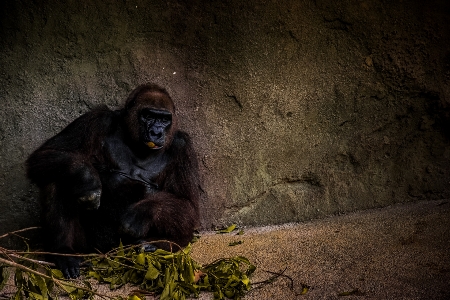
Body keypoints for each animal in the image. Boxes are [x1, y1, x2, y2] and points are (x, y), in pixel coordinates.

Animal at [25, 82, 199, 278]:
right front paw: (87, 179)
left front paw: (142, 213)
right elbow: (46, 153)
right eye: (148, 116)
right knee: (57, 177)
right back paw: (64, 253)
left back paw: (152, 245)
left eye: (164, 119)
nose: (156, 132)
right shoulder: (98, 118)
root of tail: (108, 257)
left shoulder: (183, 147)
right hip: (87, 249)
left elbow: (188, 205)